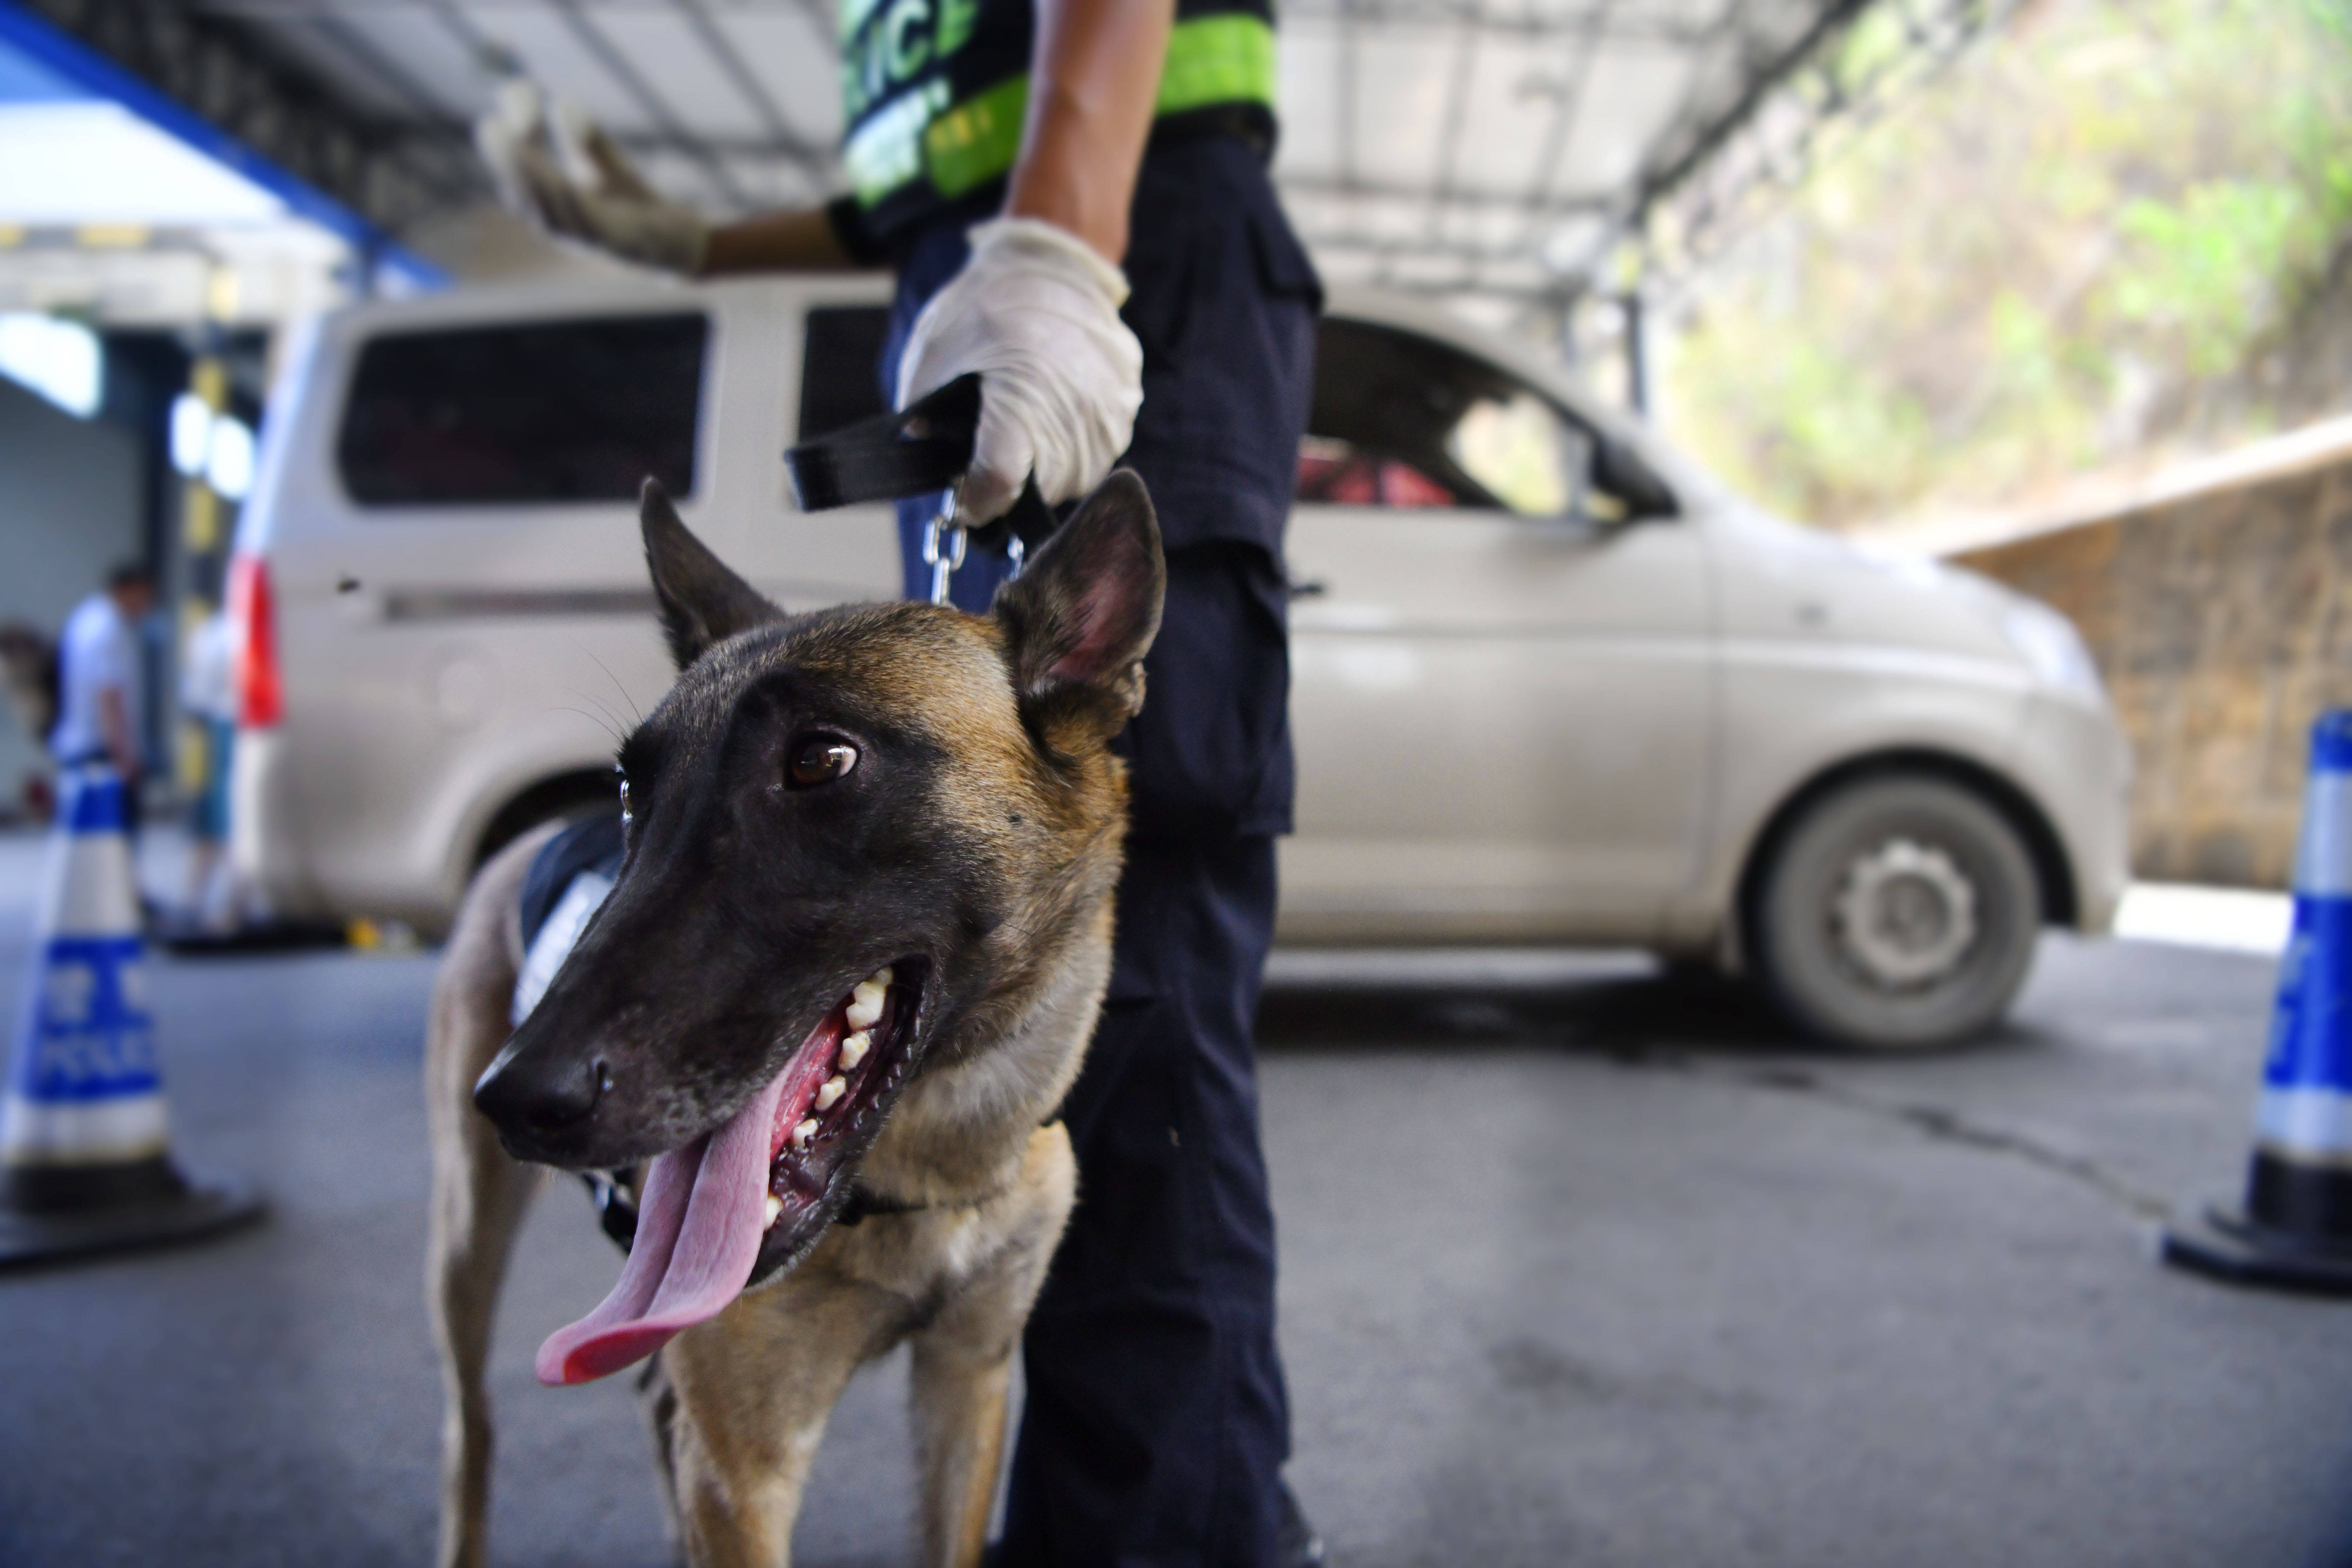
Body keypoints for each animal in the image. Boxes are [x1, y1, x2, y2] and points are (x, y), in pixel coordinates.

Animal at [428, 475, 1162, 1568]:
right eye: (632, 790)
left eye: (821, 760)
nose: (516, 1100)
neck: (923, 1167)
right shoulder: (748, 1470)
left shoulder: (968, 1386)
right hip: (465, 1249)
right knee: (470, 1428)